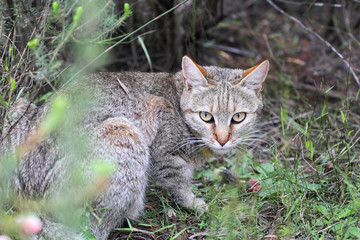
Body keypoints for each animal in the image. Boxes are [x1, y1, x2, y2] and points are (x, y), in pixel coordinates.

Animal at [1, 55, 268, 239]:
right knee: (94, 229)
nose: (223, 139)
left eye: (238, 118)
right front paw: (192, 202)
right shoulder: (165, 152)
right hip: (123, 131)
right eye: (206, 116)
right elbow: (179, 181)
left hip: (18, 107)